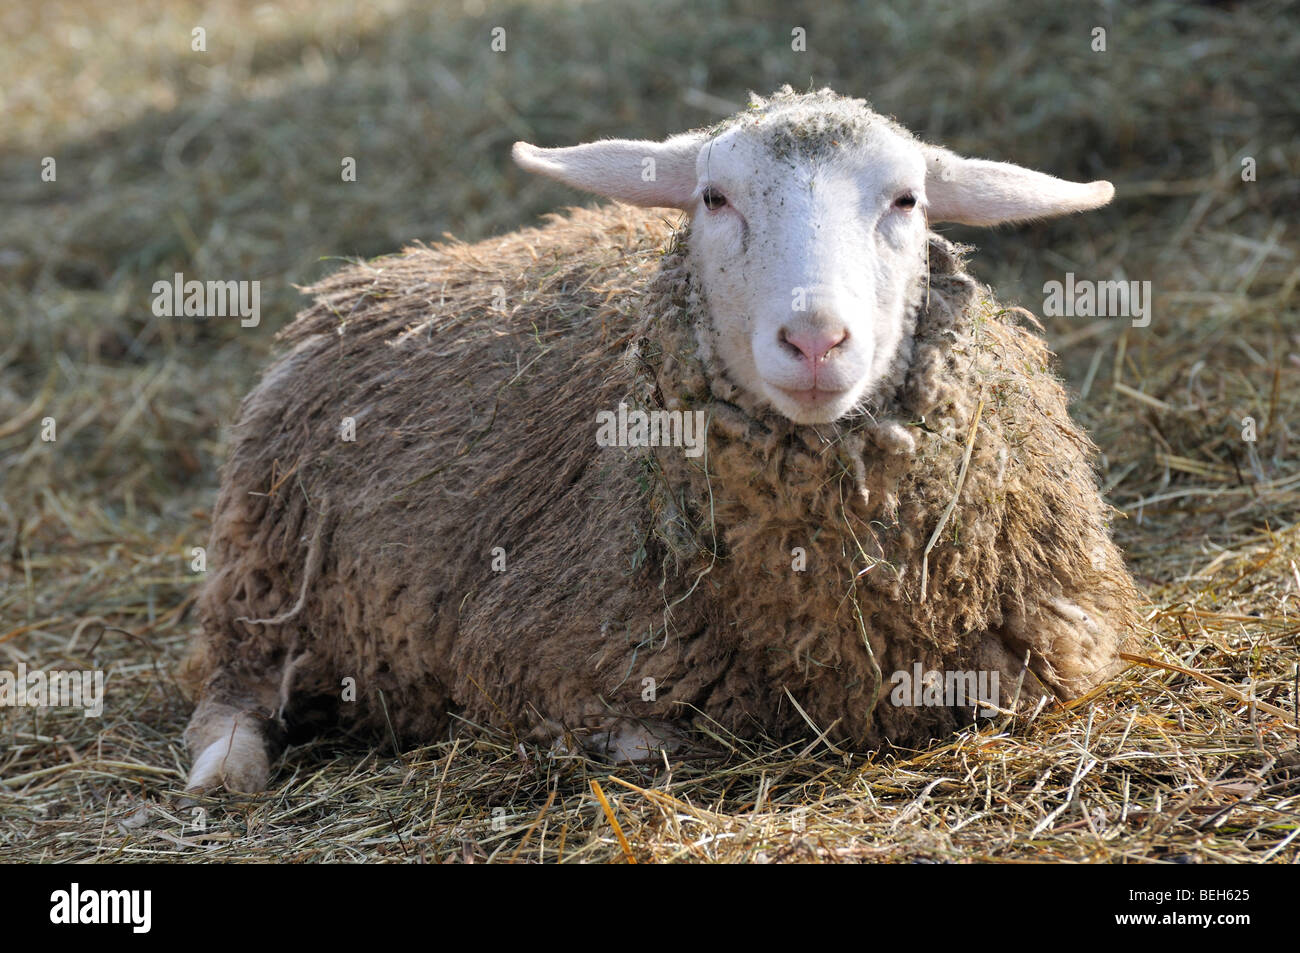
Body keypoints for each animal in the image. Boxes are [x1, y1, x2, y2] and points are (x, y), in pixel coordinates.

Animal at [180, 87, 1138, 795]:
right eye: (714, 198)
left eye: (906, 200)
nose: (816, 341)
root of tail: (366, 280)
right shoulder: (552, 671)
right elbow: (651, 744)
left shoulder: (1050, 653)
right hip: (264, 570)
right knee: (231, 689)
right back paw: (225, 771)